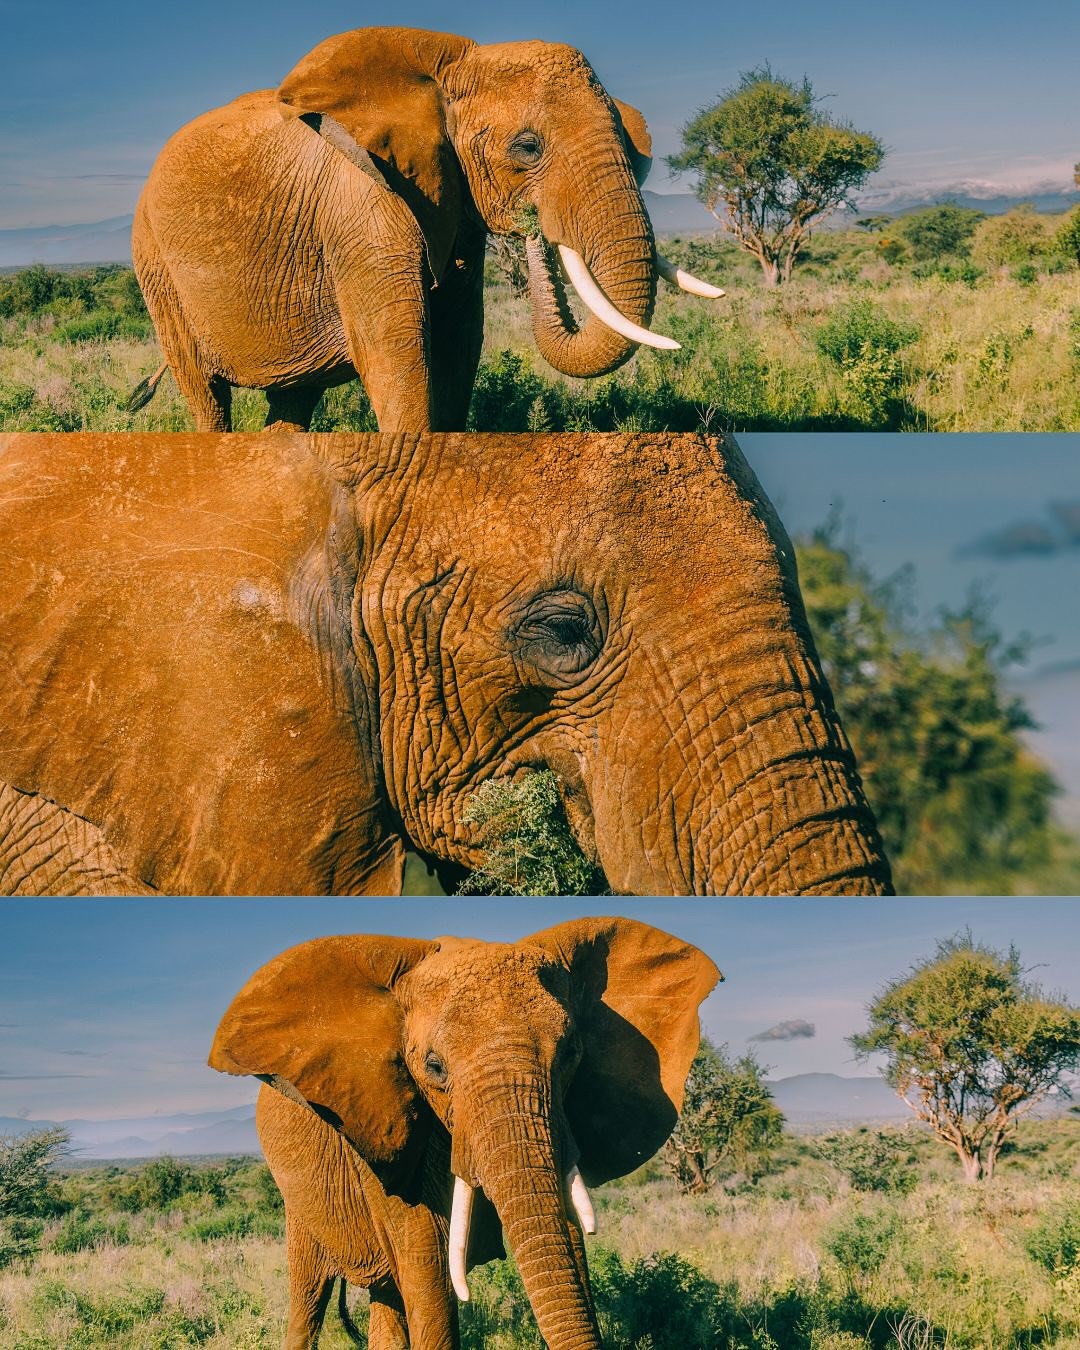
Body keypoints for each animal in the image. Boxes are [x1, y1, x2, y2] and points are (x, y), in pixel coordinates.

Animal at [128, 26, 721, 433]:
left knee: (291, 402)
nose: (533, 227)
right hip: (155, 266)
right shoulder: (362, 209)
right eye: (527, 148)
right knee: (207, 398)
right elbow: (396, 356)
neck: (448, 69)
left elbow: (460, 343)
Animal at [209, 916, 722, 1349]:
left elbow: (567, 1246)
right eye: (434, 1067)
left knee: (387, 1298)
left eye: (572, 1053)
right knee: (310, 1298)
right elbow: (430, 1272)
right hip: (298, 1202)